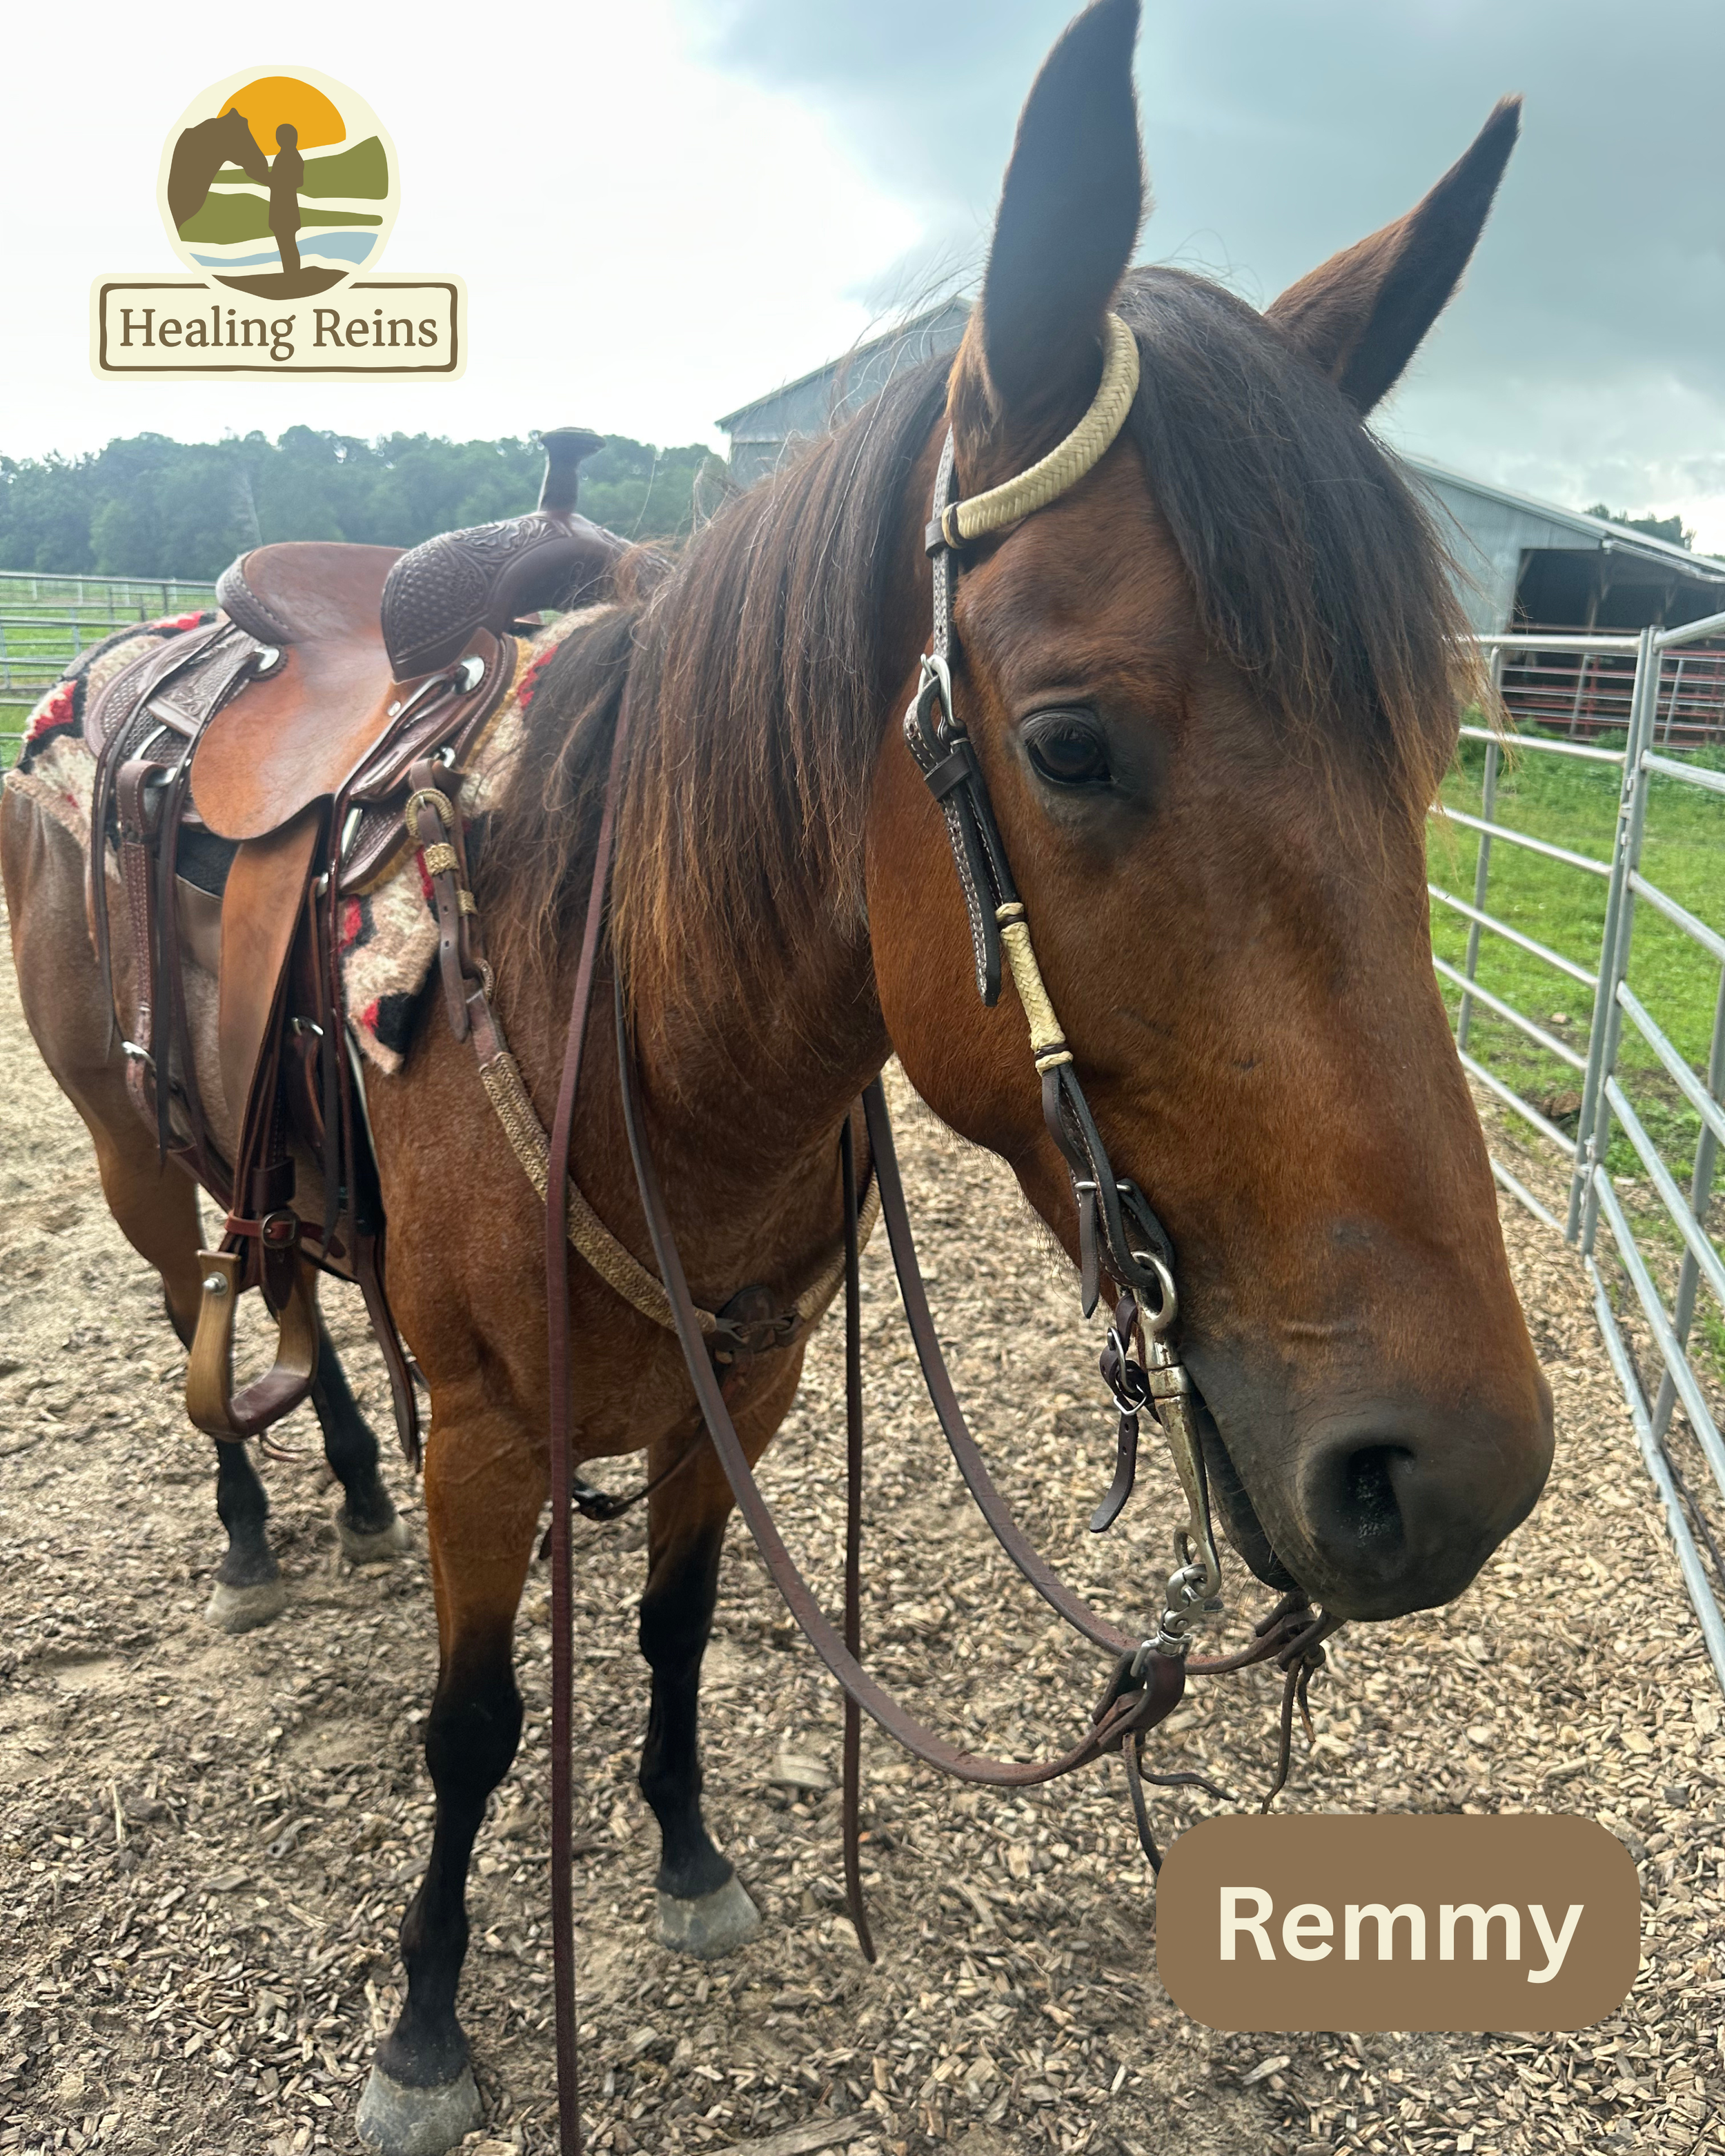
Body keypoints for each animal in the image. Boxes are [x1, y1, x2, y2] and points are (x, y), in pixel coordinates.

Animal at [4, 2, 1553, 2148]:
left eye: (1426, 744)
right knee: (199, 1294)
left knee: (293, 1269)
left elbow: (666, 1628)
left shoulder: (740, 1383)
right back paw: (250, 1527)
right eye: (1066, 744)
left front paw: (688, 1856)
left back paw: (344, 1484)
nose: (1452, 1472)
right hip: (128, 1144)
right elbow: (474, 1724)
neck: (635, 1022)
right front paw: (427, 2019)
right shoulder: (497, 1427)